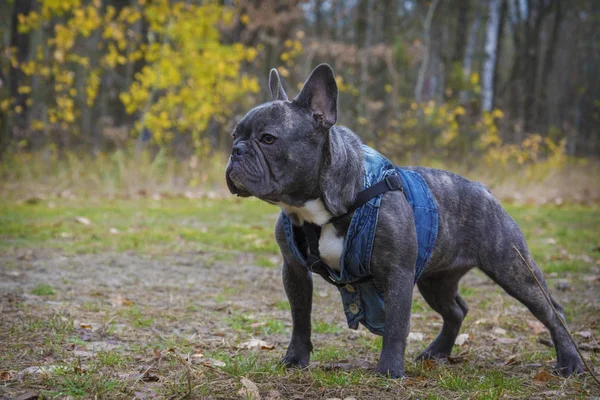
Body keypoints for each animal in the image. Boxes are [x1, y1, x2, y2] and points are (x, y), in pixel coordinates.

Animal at [224, 63, 580, 378]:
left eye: (268, 139)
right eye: (234, 134)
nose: (236, 150)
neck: (319, 208)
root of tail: (484, 189)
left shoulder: (397, 273)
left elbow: (396, 324)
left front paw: (389, 371)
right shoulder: (294, 270)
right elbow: (300, 318)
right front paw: (295, 359)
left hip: (512, 266)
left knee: (552, 311)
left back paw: (570, 363)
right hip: (435, 281)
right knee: (456, 310)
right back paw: (437, 352)